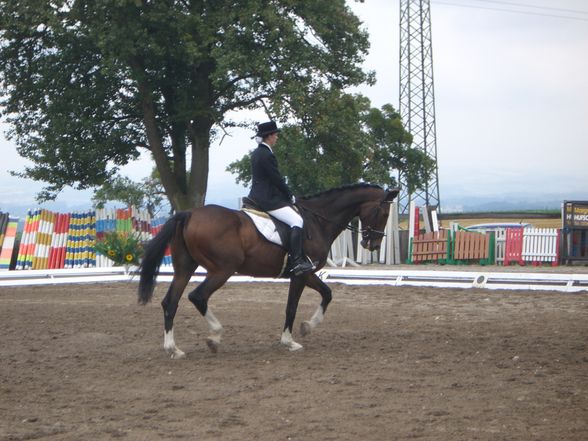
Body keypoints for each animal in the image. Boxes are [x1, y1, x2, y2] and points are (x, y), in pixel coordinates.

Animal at [139, 183, 400, 358]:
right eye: (384, 213)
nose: (373, 245)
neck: (317, 221)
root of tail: (190, 213)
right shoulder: (301, 273)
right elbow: (291, 307)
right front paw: (289, 341)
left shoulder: (308, 273)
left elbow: (327, 293)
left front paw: (308, 327)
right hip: (222, 269)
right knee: (197, 296)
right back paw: (214, 336)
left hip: (185, 268)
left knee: (170, 302)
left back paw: (173, 349)